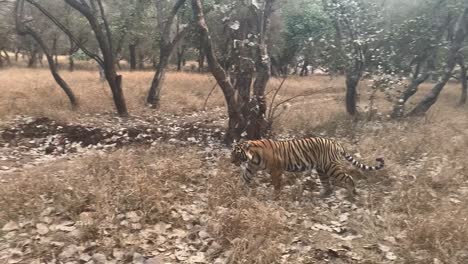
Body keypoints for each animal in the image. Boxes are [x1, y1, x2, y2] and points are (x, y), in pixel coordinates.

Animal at [230, 138, 384, 198]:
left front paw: (276, 197)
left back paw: (351, 193)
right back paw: (319, 194)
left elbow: (277, 185)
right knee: (327, 185)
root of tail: (336, 143)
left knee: (348, 178)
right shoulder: (251, 168)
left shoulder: (276, 171)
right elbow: (245, 178)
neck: (253, 157)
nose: (231, 161)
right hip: (322, 170)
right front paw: (238, 190)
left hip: (331, 167)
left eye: (236, 153)